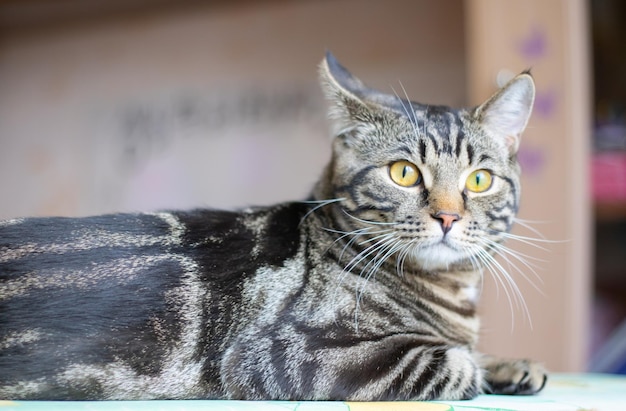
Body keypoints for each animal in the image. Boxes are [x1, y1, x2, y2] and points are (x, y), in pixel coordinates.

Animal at [0, 52, 544, 402]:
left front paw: (511, 364)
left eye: (479, 180)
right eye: (405, 173)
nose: (448, 217)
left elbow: (470, 351)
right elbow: (455, 363)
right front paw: (487, 366)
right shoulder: (292, 356)